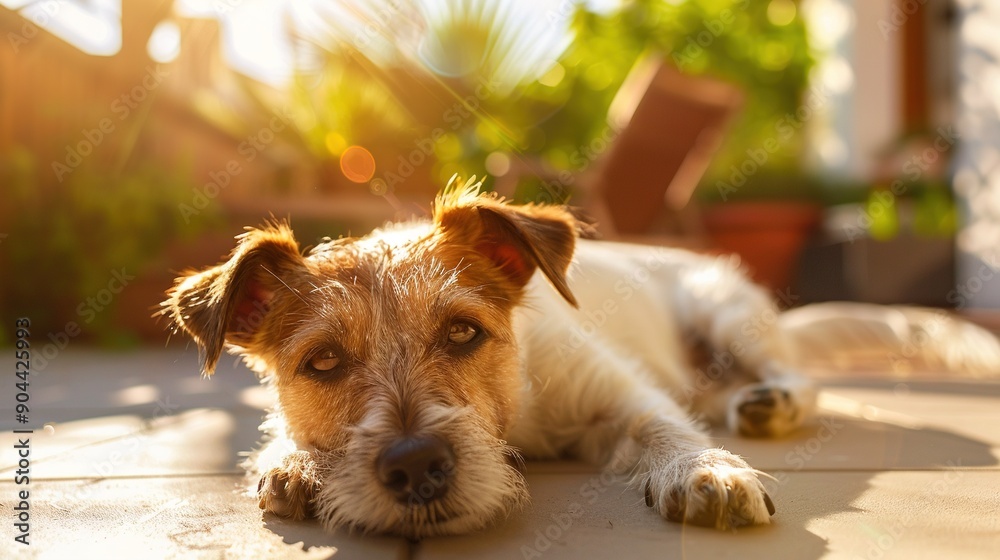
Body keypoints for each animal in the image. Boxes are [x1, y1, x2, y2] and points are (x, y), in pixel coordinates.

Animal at [160, 183, 1000, 540]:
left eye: (463, 333)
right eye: (325, 362)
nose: (415, 466)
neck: (518, 418)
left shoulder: (622, 399)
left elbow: (667, 429)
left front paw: (706, 472)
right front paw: (291, 461)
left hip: (726, 311)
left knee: (795, 378)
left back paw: (771, 402)